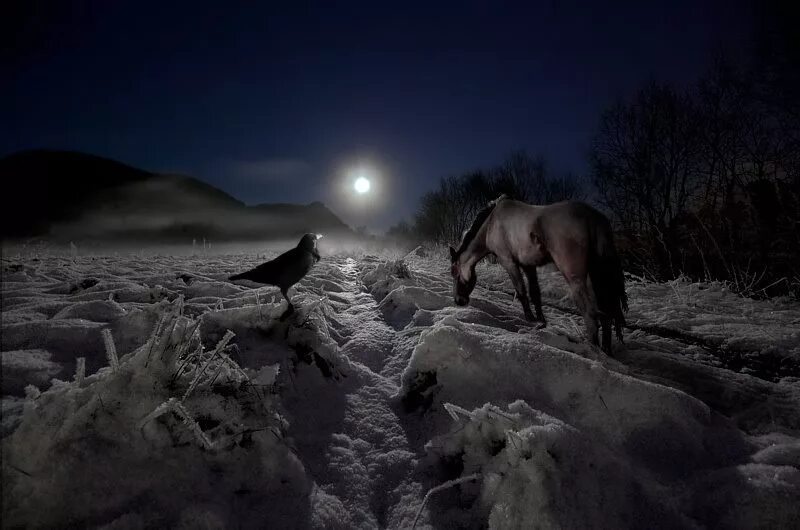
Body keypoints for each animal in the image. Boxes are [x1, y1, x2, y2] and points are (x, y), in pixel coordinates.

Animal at [450, 194, 624, 350]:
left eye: (455, 273)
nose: (459, 301)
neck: (491, 224)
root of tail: (593, 217)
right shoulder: (528, 265)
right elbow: (535, 293)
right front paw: (540, 321)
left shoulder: (508, 262)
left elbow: (521, 290)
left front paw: (530, 318)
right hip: (598, 276)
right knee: (606, 314)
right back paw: (606, 351)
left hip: (576, 278)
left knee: (590, 314)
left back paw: (594, 350)